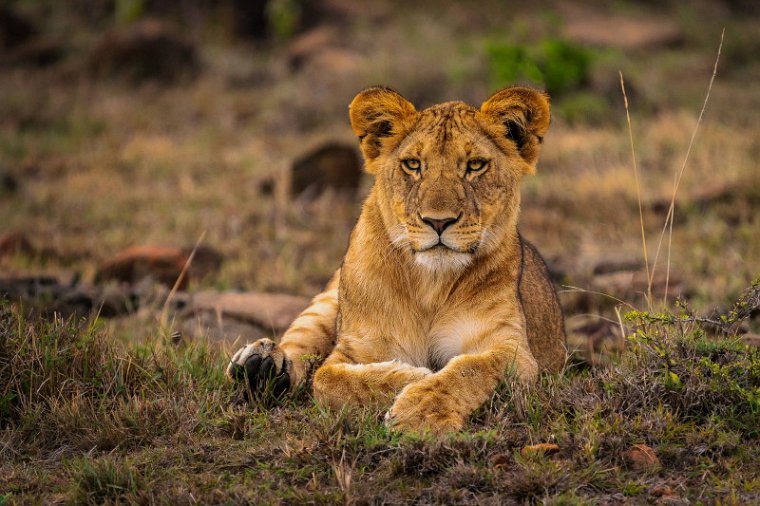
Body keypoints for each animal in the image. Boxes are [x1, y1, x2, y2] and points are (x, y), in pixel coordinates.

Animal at [229, 85, 568, 432]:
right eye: (413, 164)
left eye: (475, 165)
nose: (438, 222)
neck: (431, 284)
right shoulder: (355, 348)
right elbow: (327, 380)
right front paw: (414, 376)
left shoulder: (514, 349)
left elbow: (474, 368)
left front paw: (422, 412)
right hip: (328, 300)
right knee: (298, 343)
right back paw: (259, 365)